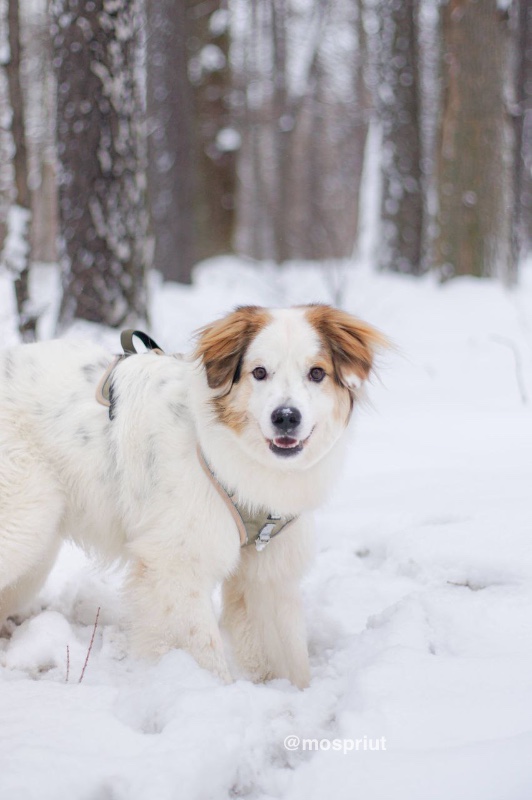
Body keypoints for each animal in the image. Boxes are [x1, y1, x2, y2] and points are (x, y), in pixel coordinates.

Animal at [0, 304, 382, 688]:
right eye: (259, 372)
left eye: (317, 373)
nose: (286, 417)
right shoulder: (176, 566)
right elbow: (203, 652)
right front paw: (209, 691)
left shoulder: (266, 573)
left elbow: (287, 655)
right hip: (23, 528)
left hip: (36, 553)